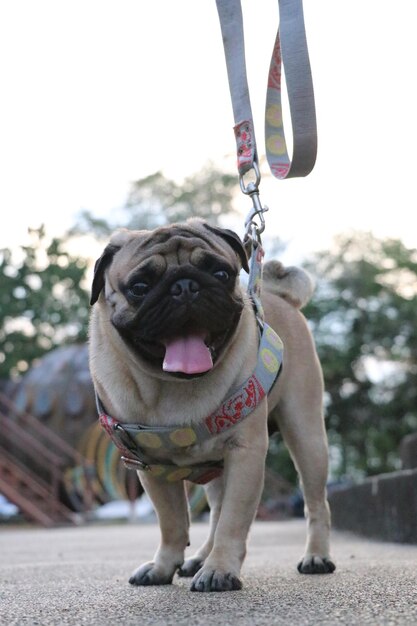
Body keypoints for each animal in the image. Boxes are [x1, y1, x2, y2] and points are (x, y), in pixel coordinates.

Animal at [88, 217, 334, 588]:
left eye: (221, 273)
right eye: (140, 286)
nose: (185, 286)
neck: (174, 386)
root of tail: (280, 296)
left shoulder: (245, 454)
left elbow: (235, 520)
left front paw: (221, 569)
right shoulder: (149, 467)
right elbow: (172, 523)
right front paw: (164, 566)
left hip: (306, 436)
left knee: (315, 501)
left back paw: (316, 556)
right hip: (216, 466)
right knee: (216, 511)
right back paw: (198, 560)